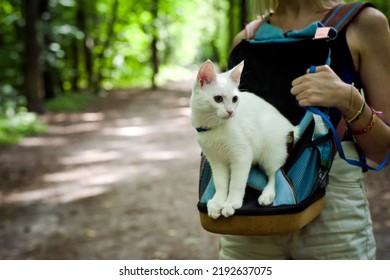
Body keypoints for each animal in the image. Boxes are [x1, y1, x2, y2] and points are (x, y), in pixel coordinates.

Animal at [191, 60, 298, 220]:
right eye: (218, 99)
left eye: (234, 99)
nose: (231, 111)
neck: (215, 127)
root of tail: (291, 126)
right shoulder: (216, 161)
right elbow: (220, 182)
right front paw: (218, 201)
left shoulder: (241, 155)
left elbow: (236, 183)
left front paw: (231, 203)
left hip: (271, 152)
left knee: (274, 174)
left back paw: (267, 194)